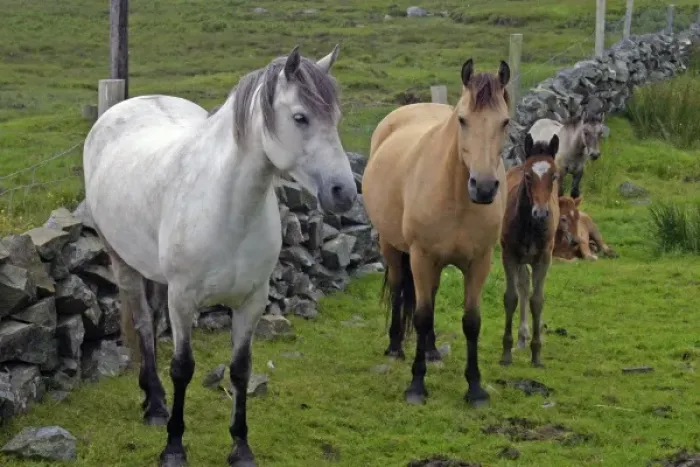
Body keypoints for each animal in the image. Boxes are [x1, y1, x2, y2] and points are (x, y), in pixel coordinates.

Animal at [82, 45, 357, 467]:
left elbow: (241, 370)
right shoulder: (183, 300)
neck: (227, 208)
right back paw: (155, 404)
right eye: (301, 117)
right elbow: (182, 368)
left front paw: (240, 446)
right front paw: (174, 446)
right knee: (143, 324)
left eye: (336, 118)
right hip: (122, 261)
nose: (344, 192)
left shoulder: (251, 301)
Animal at [362, 58, 511, 407]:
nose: (484, 187)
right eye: (463, 120)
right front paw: (416, 385)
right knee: (401, 290)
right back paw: (395, 347)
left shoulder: (480, 262)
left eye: (505, 122)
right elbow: (422, 315)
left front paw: (475, 388)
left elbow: (471, 322)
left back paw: (430, 350)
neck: (455, 196)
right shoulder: (420, 256)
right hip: (392, 247)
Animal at [499, 133, 560, 368]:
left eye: (554, 176)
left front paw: (537, 354)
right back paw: (521, 337)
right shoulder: (509, 255)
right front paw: (506, 353)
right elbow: (511, 298)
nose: (541, 213)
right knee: (523, 284)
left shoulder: (544, 258)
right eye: (528, 176)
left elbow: (537, 301)